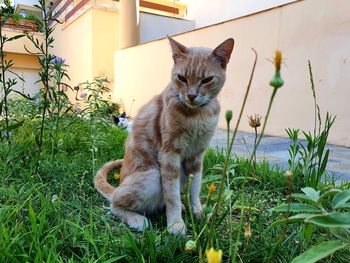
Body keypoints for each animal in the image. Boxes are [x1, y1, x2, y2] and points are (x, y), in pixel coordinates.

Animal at [94, 36, 234, 236]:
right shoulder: (169, 153)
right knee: (114, 206)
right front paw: (175, 224)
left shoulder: (197, 155)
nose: (191, 95)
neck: (198, 115)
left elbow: (195, 188)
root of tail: (117, 188)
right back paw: (137, 219)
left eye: (207, 79)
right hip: (153, 175)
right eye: (182, 78)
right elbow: (172, 195)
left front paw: (197, 212)